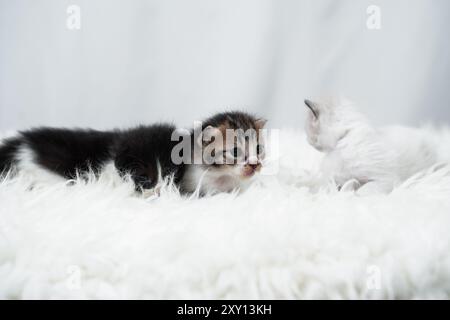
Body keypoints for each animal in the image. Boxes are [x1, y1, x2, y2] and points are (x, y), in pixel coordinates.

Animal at [304, 97, 438, 192]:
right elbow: (332, 187)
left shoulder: (385, 179)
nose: (307, 139)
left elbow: (362, 191)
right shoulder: (334, 180)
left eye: (307, 130)